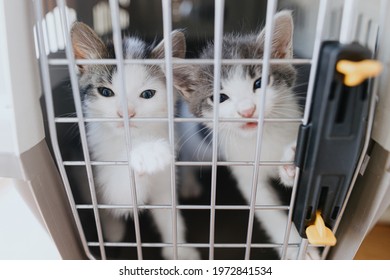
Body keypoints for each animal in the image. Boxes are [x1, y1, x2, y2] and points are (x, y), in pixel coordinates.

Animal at [70, 22, 200, 260]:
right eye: (105, 92)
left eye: (148, 94)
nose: (126, 113)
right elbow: (120, 197)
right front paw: (148, 152)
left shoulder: (166, 176)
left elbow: (169, 212)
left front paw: (180, 250)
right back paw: (112, 231)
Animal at [174, 10, 320, 260]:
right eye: (219, 97)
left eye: (259, 82)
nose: (247, 110)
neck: (263, 138)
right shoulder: (242, 165)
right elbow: (266, 209)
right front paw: (294, 250)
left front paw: (291, 163)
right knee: (189, 158)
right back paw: (189, 183)